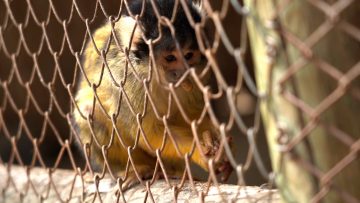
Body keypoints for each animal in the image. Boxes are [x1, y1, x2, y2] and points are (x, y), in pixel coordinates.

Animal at [73, 0, 231, 189]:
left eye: (188, 55)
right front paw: (201, 153)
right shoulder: (128, 80)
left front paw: (217, 138)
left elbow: (193, 116)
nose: (182, 72)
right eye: (170, 58)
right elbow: (148, 132)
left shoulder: (198, 72)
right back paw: (139, 169)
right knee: (90, 111)